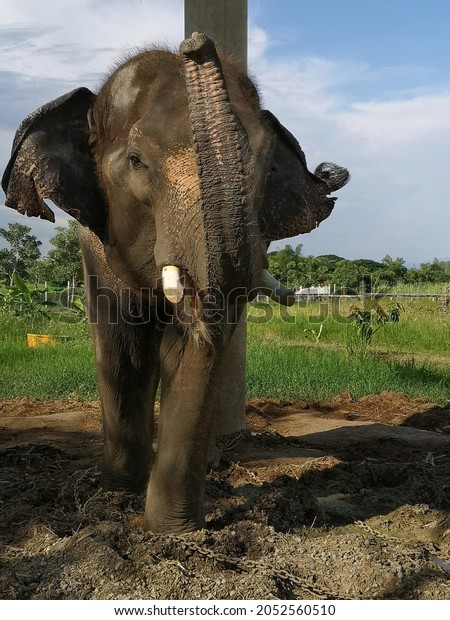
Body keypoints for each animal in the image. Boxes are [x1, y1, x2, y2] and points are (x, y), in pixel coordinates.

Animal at [1, 30, 350, 532]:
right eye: (136, 161)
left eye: (268, 169)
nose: (196, 43)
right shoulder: (95, 245)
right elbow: (123, 349)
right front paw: (120, 495)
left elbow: (189, 348)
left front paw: (170, 529)